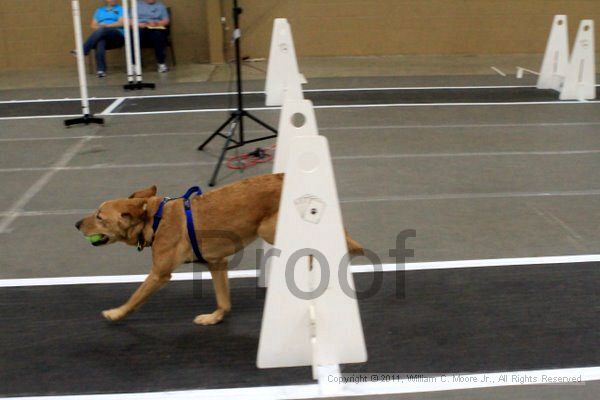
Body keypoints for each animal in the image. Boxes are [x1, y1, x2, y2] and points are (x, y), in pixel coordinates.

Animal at [77, 173, 364, 324]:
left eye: (100, 217)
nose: (77, 223)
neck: (155, 219)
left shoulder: (159, 274)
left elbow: (135, 298)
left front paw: (116, 313)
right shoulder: (217, 263)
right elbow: (223, 300)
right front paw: (214, 317)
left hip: (269, 229)